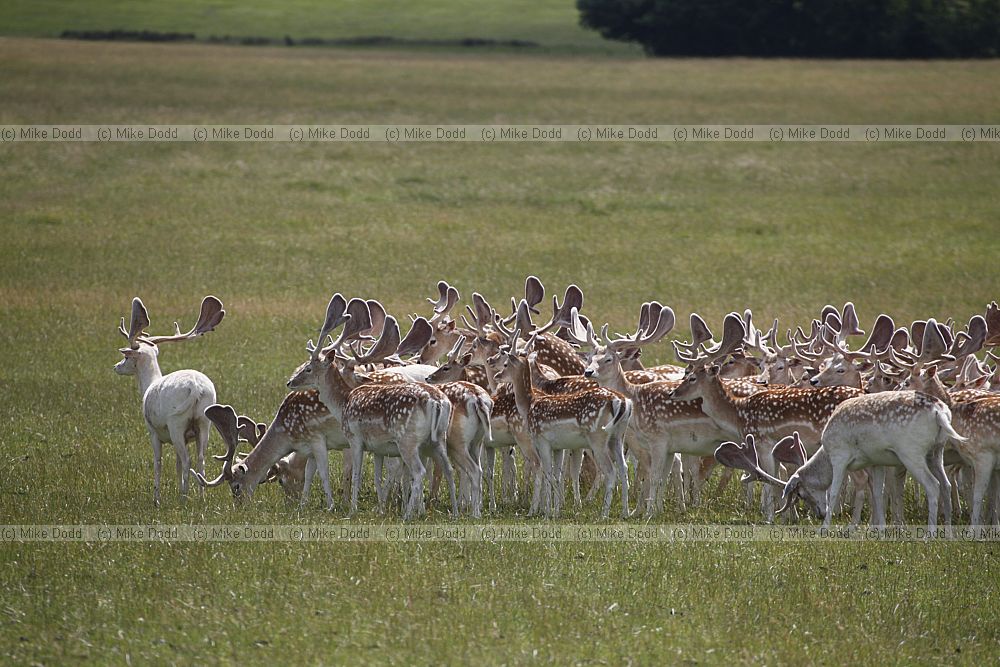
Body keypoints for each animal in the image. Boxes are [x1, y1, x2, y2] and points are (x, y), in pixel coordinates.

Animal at [114, 295, 225, 505]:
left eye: (126, 357)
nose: (116, 366)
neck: (148, 386)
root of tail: (196, 387)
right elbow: (177, 464)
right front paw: (177, 489)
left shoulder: (153, 432)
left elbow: (158, 462)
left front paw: (156, 499)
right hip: (204, 421)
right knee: (200, 458)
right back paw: (201, 497)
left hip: (176, 422)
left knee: (188, 460)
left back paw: (184, 499)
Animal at [286, 295, 457, 519]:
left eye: (308, 368)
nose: (290, 382)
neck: (343, 403)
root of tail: (437, 402)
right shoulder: (378, 448)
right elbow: (377, 477)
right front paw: (380, 508)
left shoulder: (355, 438)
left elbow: (356, 474)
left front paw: (352, 510)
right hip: (439, 438)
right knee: (448, 468)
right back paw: (454, 511)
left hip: (408, 439)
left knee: (419, 471)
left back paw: (407, 515)